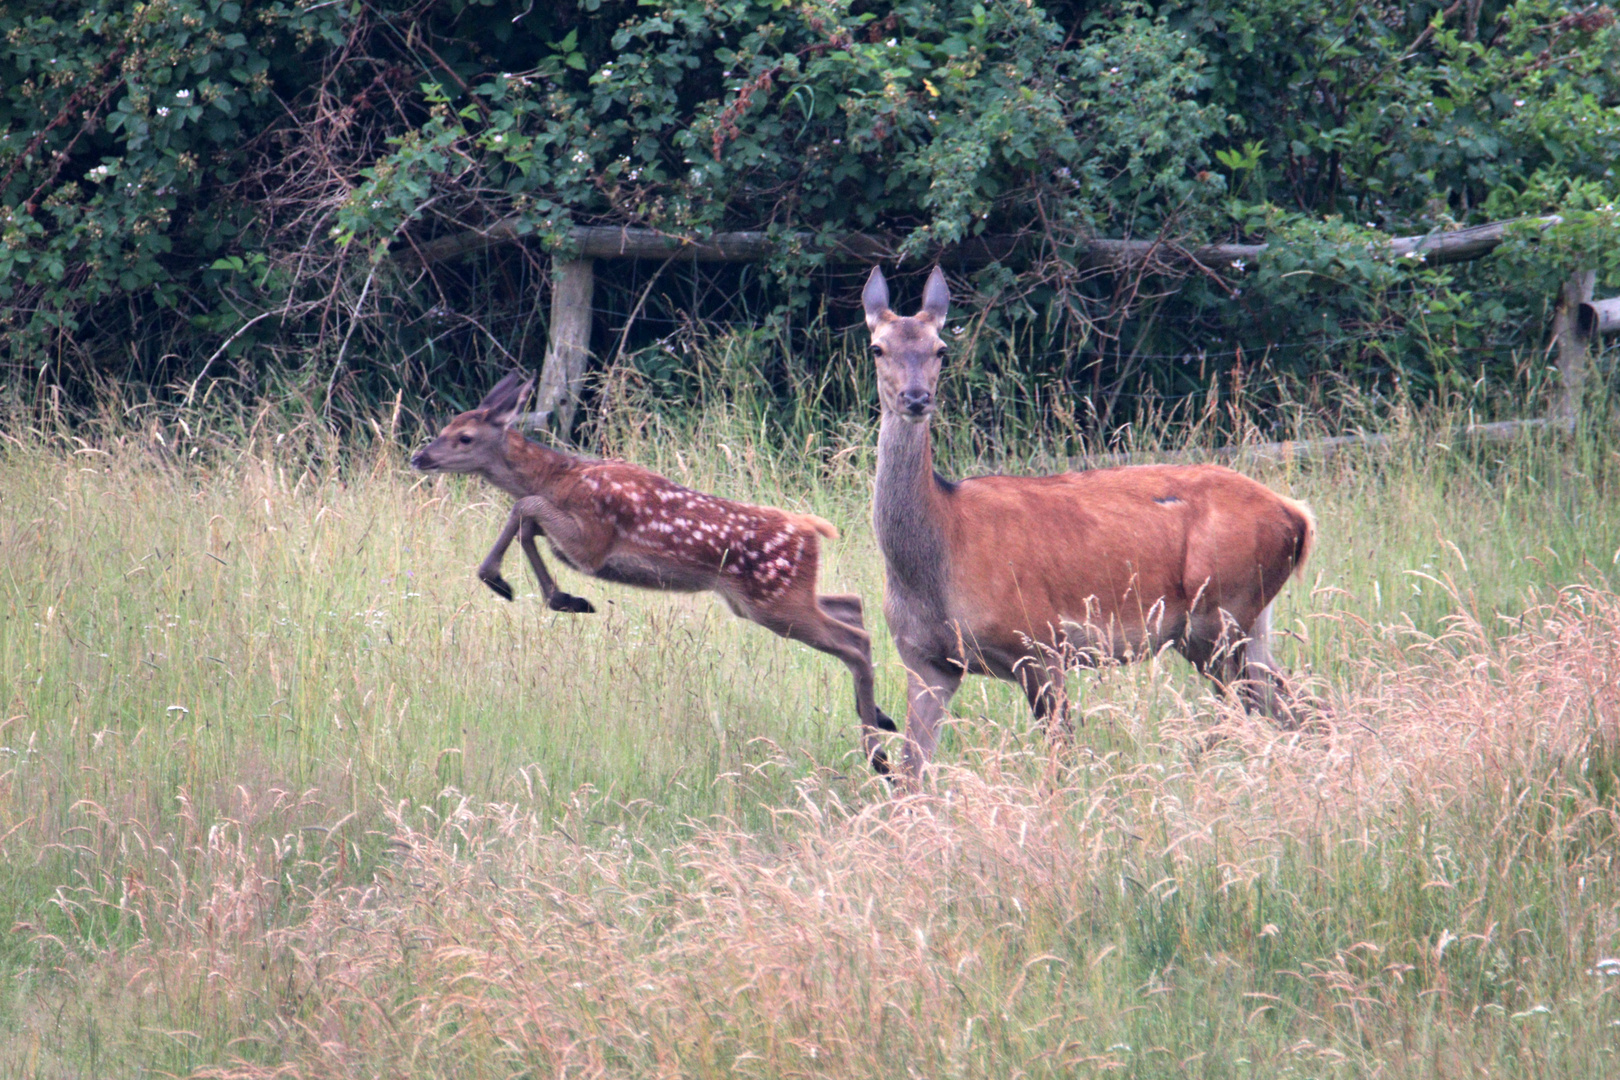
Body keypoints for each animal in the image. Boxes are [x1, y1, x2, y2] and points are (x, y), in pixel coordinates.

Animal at [411, 375, 900, 773]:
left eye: (464, 437)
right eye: (445, 428)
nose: (420, 457)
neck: (559, 477)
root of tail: (811, 530)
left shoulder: (592, 541)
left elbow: (523, 507)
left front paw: (512, 583)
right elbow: (527, 520)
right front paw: (554, 596)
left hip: (775, 599)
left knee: (854, 640)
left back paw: (878, 755)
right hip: (767, 599)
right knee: (852, 606)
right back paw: (880, 717)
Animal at [861, 268, 1315, 777]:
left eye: (941, 348)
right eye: (877, 347)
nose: (916, 397)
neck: (941, 550)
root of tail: (1296, 515)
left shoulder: (1040, 640)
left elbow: (1062, 753)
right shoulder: (926, 660)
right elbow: (911, 771)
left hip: (1217, 611)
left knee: (1247, 706)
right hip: (1246, 621)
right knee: (1297, 705)